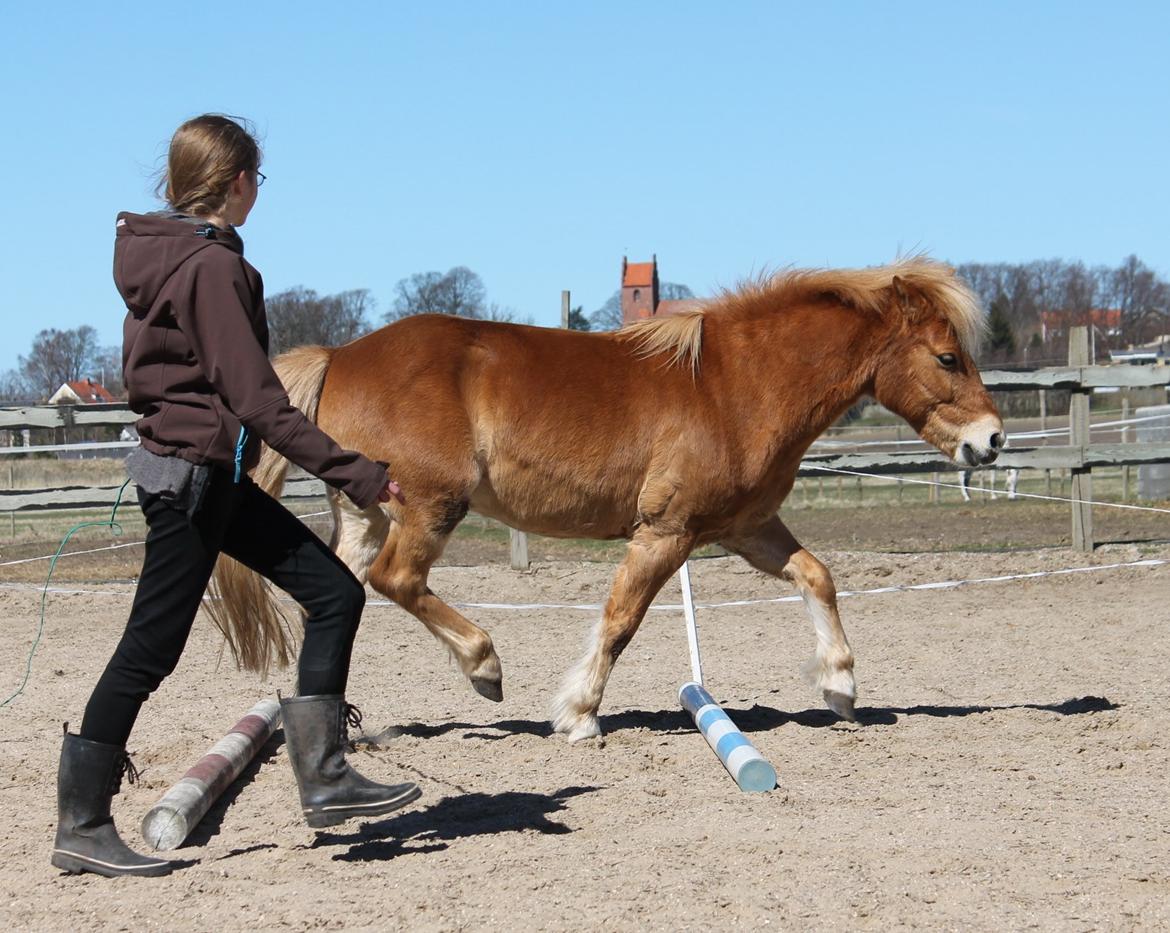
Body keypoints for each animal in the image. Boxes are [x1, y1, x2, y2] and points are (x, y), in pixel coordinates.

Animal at [210, 255, 1006, 744]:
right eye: (947, 357)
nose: (991, 440)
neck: (736, 384)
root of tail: (340, 355)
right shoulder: (666, 531)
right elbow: (620, 621)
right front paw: (579, 713)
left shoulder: (746, 528)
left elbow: (818, 575)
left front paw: (840, 685)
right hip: (429, 507)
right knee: (395, 581)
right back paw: (483, 668)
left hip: (365, 515)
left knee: (342, 594)